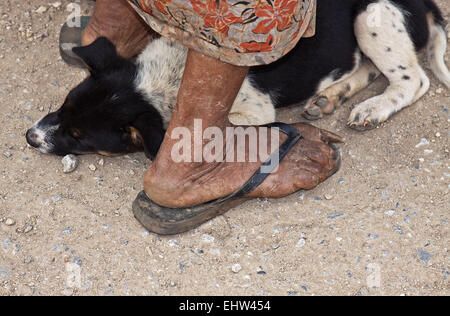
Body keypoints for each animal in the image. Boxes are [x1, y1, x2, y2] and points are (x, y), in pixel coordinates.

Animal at [26, 0, 448, 158]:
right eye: (63, 105)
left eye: (79, 136)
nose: (29, 137)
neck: (161, 81)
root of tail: (425, 4)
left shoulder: (254, 111)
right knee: (367, 66)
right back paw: (330, 96)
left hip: (372, 16)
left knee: (414, 80)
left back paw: (373, 109)